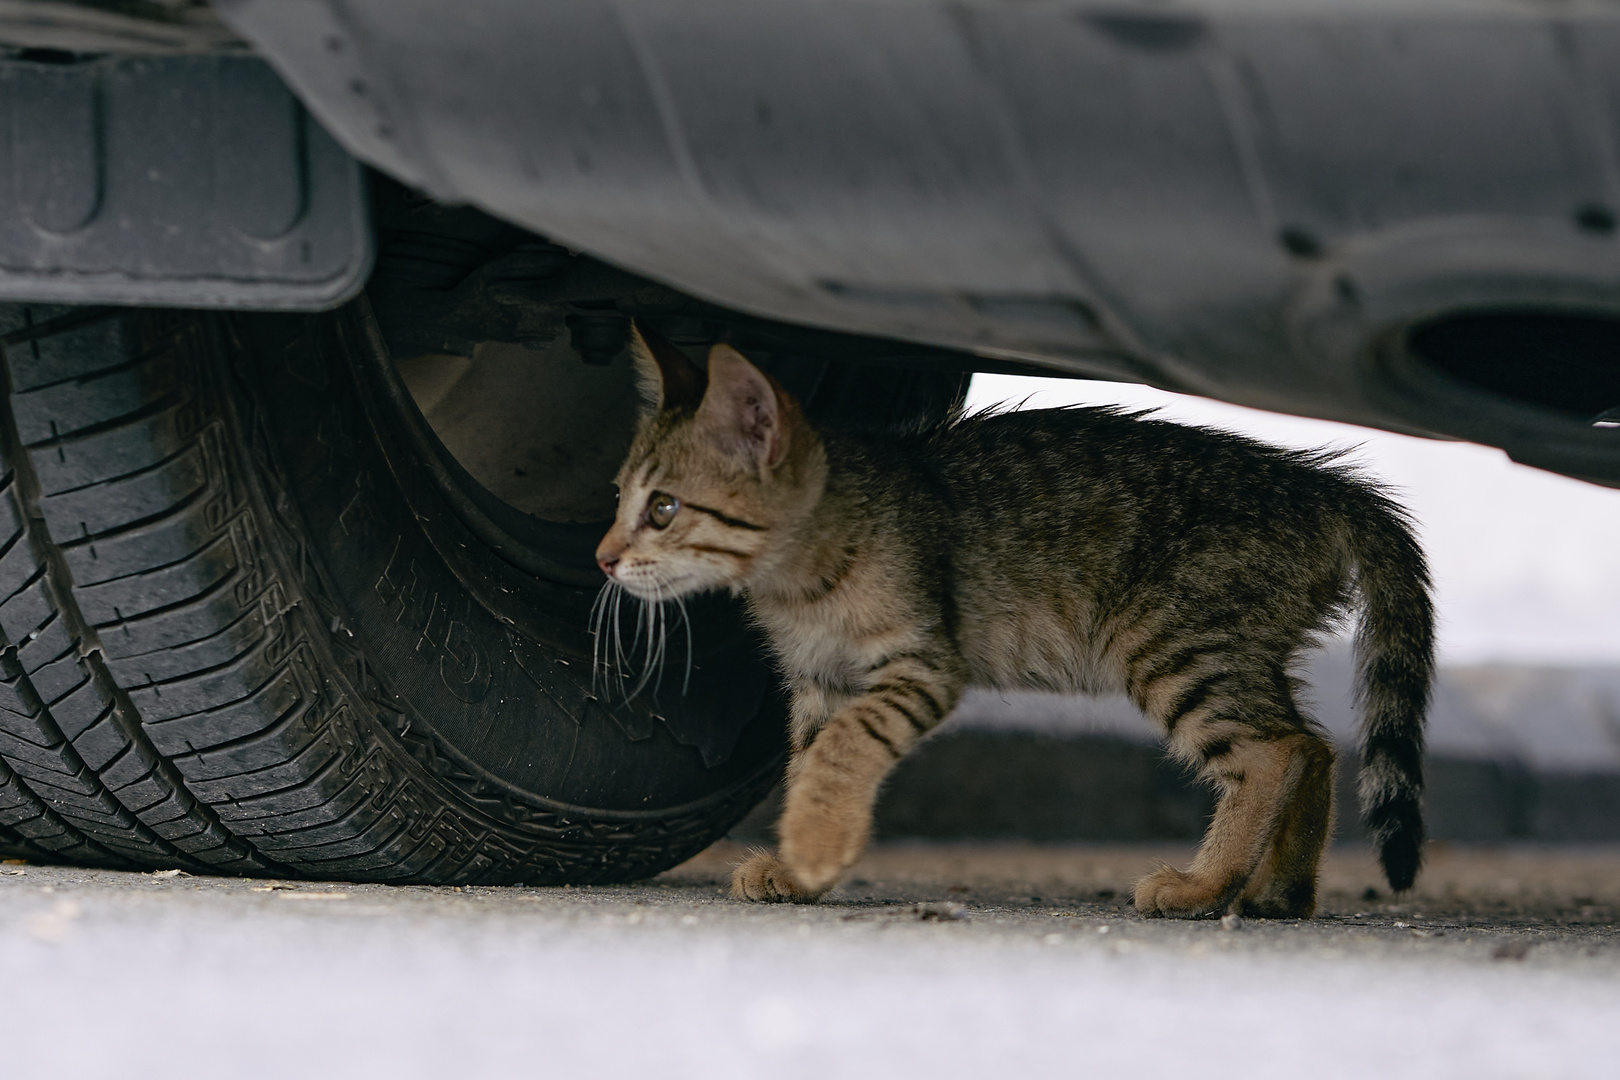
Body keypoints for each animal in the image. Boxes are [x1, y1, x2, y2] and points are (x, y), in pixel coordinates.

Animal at [596, 325, 1432, 919]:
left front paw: (814, 847)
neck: (803, 573)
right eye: (616, 495)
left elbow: (842, 750)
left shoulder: (919, 665)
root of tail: (1325, 488)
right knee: (1316, 746)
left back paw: (1203, 887)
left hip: (1175, 646)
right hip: (1233, 649)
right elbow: (811, 760)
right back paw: (1280, 893)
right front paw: (802, 862)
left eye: (662, 509)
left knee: (1276, 752)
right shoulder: (819, 683)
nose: (602, 558)